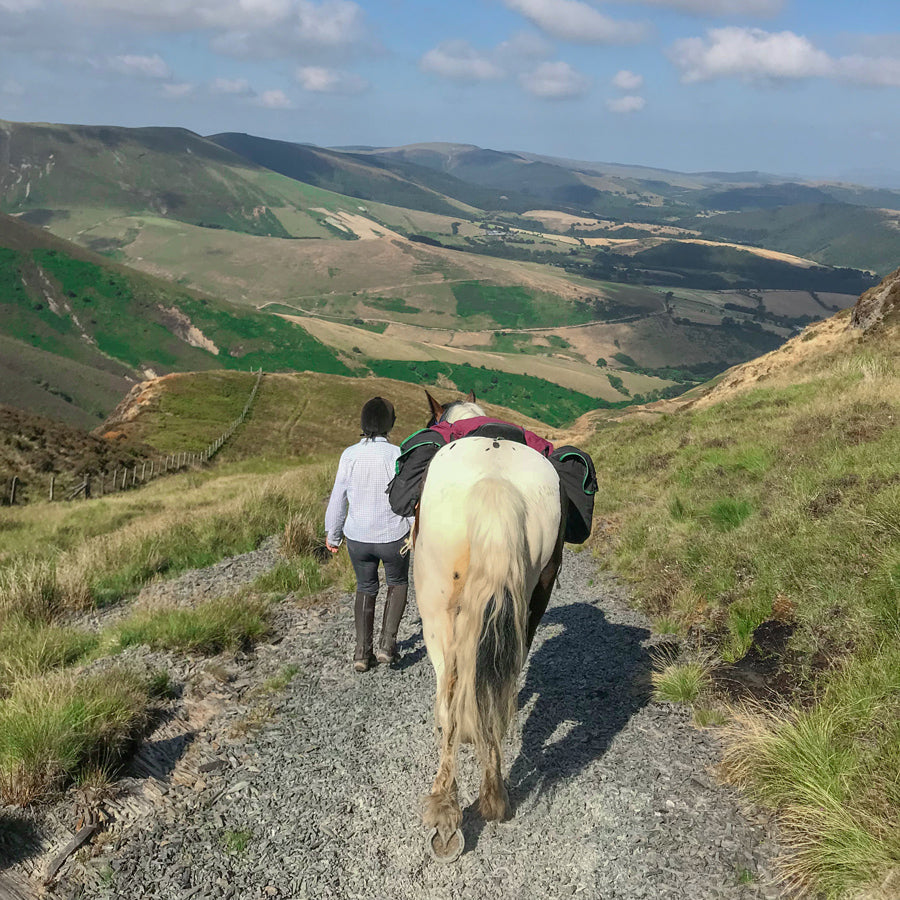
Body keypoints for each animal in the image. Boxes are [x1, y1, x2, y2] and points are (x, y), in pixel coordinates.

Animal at [414, 390, 564, 860]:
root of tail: (496, 485)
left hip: (435, 610)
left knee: (449, 686)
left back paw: (445, 809)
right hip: (528, 601)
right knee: (499, 683)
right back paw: (495, 792)